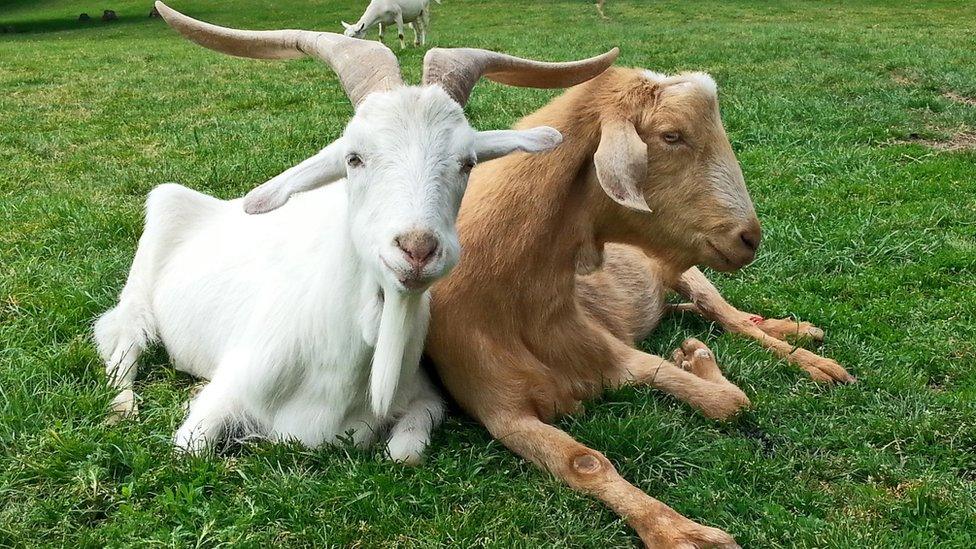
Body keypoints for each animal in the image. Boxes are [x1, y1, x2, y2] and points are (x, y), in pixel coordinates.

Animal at [97, 2, 616, 460]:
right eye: (354, 157)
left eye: (468, 162)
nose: (418, 249)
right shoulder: (226, 391)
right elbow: (192, 449)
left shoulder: (423, 397)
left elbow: (404, 453)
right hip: (147, 266)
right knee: (121, 339)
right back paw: (121, 407)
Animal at [428, 66, 856, 544]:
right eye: (671, 135)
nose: (749, 238)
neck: (519, 311)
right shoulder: (500, 411)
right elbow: (585, 463)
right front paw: (679, 533)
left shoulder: (621, 356)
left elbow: (729, 402)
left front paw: (699, 362)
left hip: (688, 269)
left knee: (727, 315)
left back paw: (810, 356)